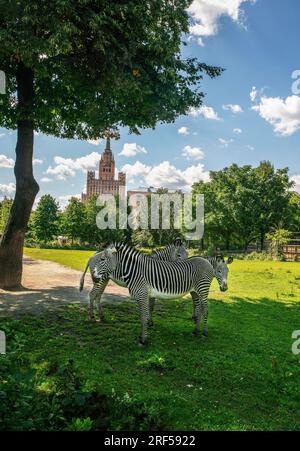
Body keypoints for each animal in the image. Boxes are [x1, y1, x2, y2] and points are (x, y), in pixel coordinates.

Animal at [91, 244, 232, 346]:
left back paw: (203, 332)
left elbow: (144, 316)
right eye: (219, 271)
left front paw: (143, 339)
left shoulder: (143, 295)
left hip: (202, 289)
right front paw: (144, 332)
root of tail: (204, 260)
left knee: (205, 309)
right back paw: (196, 331)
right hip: (196, 290)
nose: (93, 276)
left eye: (102, 259)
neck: (134, 271)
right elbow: (143, 315)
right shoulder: (141, 296)